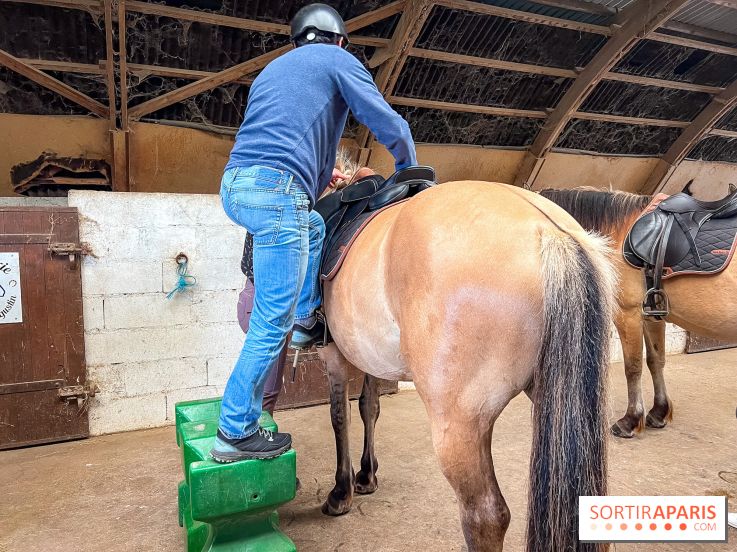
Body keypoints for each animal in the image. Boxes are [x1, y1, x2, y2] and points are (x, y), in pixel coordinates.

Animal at [314, 174, 615, 551]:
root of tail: (549, 231)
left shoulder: (335, 356)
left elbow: (339, 417)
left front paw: (342, 492)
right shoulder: (369, 358)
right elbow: (370, 408)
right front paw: (366, 474)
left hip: (459, 426)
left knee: (486, 516)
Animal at [539, 187, 737, 439]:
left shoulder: (628, 314)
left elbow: (633, 367)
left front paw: (630, 420)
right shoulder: (652, 313)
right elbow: (655, 360)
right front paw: (659, 412)